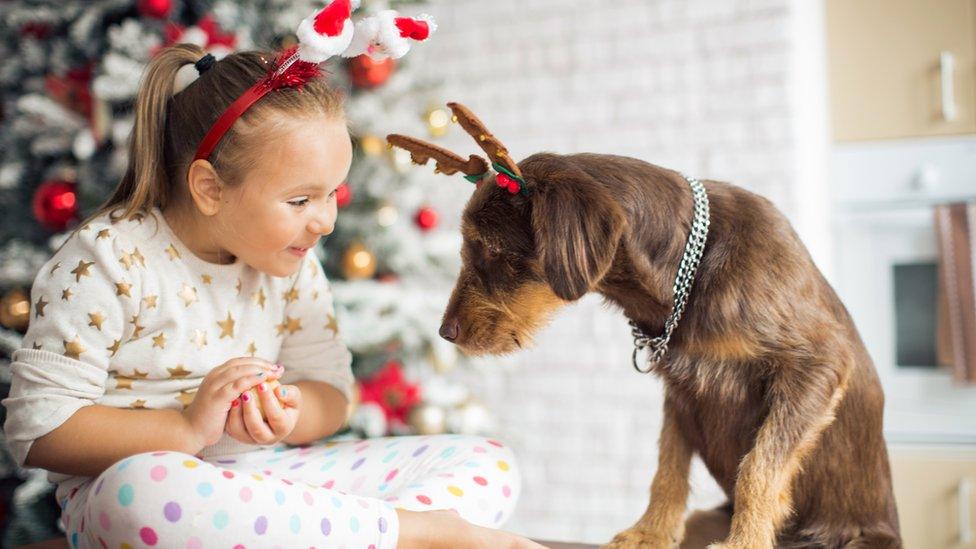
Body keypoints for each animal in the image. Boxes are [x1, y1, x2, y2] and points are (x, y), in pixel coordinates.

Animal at [386, 104, 900, 548]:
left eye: (491, 250)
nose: (445, 333)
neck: (687, 275)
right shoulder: (681, 390)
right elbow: (667, 468)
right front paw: (649, 533)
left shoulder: (816, 365)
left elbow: (760, 464)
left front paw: (745, 541)